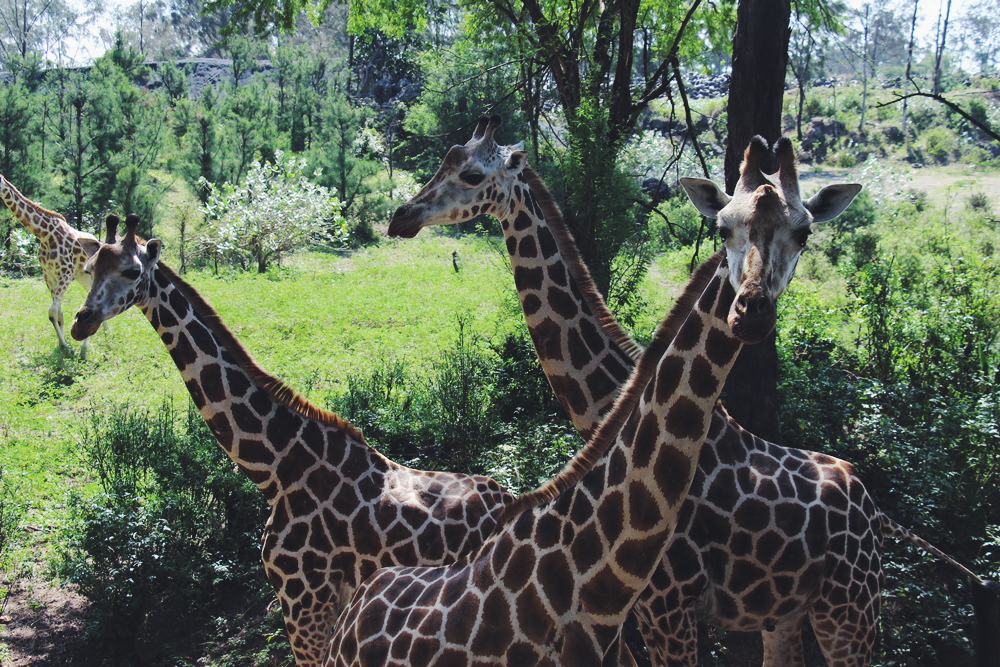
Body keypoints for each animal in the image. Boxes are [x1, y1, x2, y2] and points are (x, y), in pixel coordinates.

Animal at [0, 174, 102, 359]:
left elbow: (53, 311)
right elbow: (57, 313)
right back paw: (105, 335)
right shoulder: (49, 275)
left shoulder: (65, 274)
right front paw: (62, 346)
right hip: (83, 277)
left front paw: (66, 348)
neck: (45, 234)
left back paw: (84, 351)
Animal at [388, 117, 998, 666]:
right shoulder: (627, 611)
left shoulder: (668, 606)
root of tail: (877, 513)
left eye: (471, 175)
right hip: (786, 613)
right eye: (445, 161)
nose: (402, 217)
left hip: (851, 613)